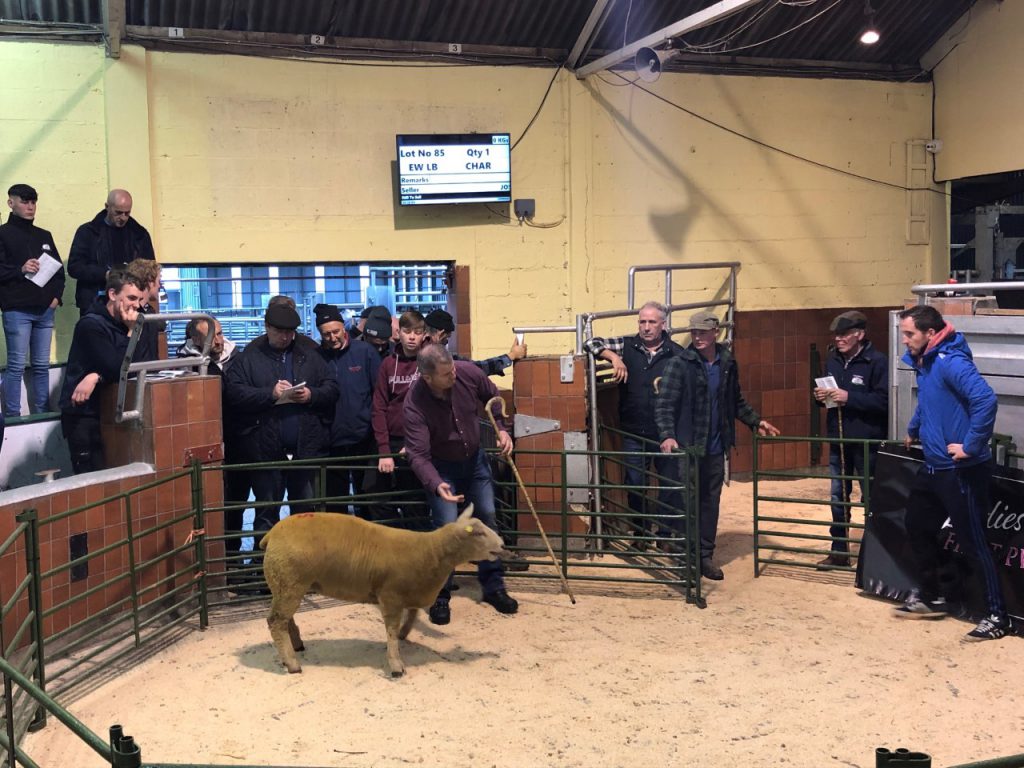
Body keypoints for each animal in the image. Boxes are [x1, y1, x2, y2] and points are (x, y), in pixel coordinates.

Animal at [259, 504, 506, 677]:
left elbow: (412, 614)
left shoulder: (409, 592)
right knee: (276, 622)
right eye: (479, 533)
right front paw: (396, 664)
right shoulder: (390, 596)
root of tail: (271, 535)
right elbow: (391, 630)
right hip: (289, 582)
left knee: (285, 619)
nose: (503, 545)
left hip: (286, 585)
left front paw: (405, 634)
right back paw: (292, 664)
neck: (430, 552)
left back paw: (296, 646)